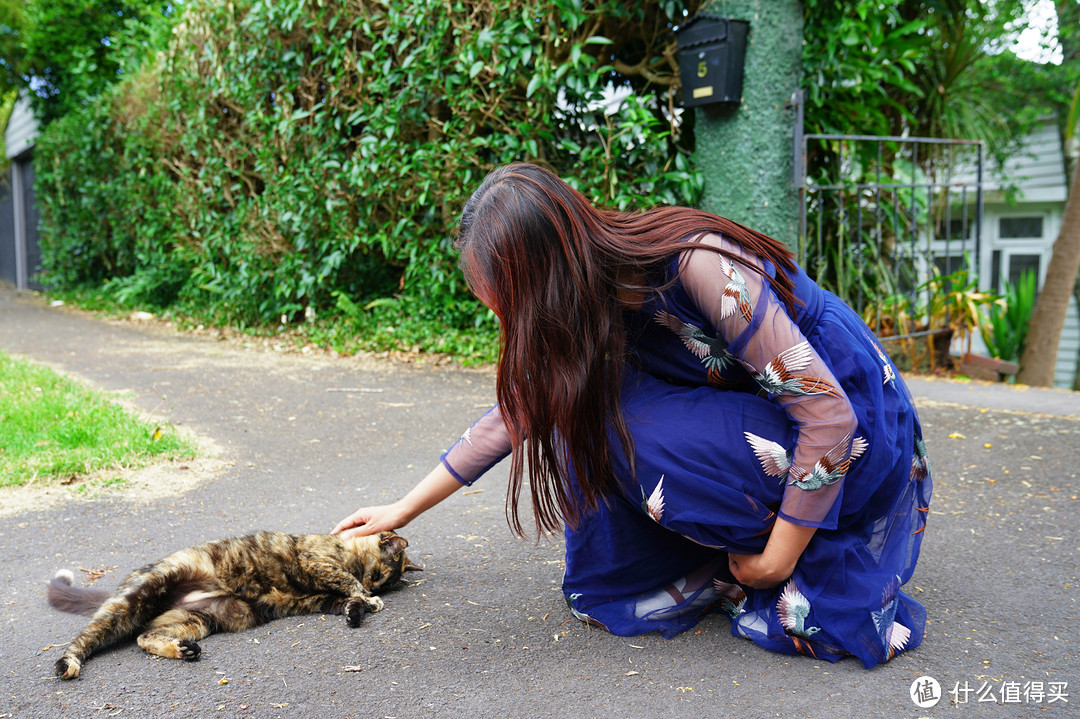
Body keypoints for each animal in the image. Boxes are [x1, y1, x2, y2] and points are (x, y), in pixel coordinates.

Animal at [47, 526, 416, 677]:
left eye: (384, 580)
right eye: (377, 574)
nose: (374, 586)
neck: (345, 548)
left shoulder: (317, 599)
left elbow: (342, 602)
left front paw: (357, 610)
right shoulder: (318, 562)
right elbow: (346, 581)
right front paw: (367, 599)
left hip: (197, 619)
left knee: (144, 636)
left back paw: (182, 650)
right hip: (136, 598)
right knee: (87, 636)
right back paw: (68, 664)